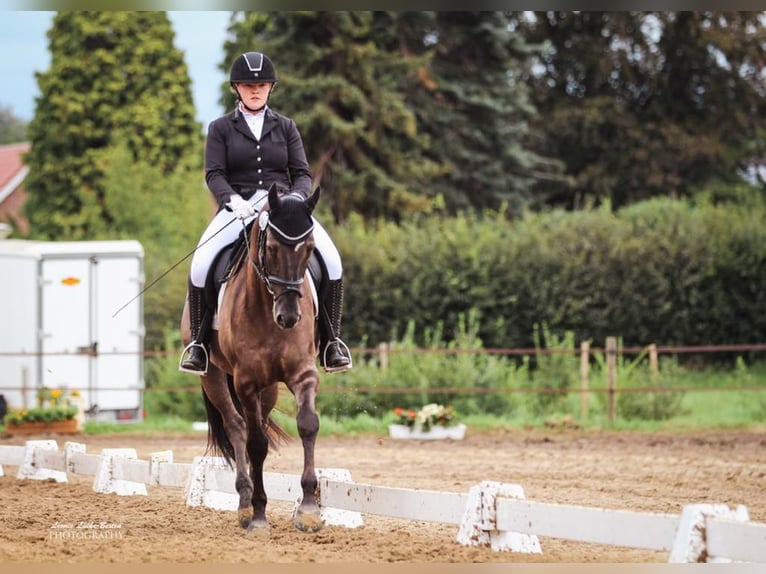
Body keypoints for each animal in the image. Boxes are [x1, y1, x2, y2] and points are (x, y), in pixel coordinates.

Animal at [184, 183, 326, 536]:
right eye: (272, 248)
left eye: (309, 249)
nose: (289, 317)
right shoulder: (245, 383)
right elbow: (256, 444)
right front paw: (260, 516)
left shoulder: (303, 374)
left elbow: (308, 424)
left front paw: (309, 509)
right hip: (215, 377)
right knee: (237, 427)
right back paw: (245, 504)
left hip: (270, 388)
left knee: (255, 422)